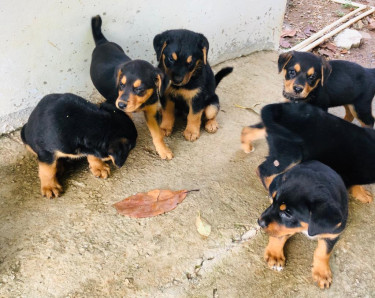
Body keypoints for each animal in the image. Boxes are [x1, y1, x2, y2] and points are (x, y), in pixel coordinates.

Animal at [90, 15, 174, 161]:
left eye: (139, 89)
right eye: (121, 85)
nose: (121, 104)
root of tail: (102, 42)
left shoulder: (151, 112)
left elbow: (158, 134)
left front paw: (163, 150)